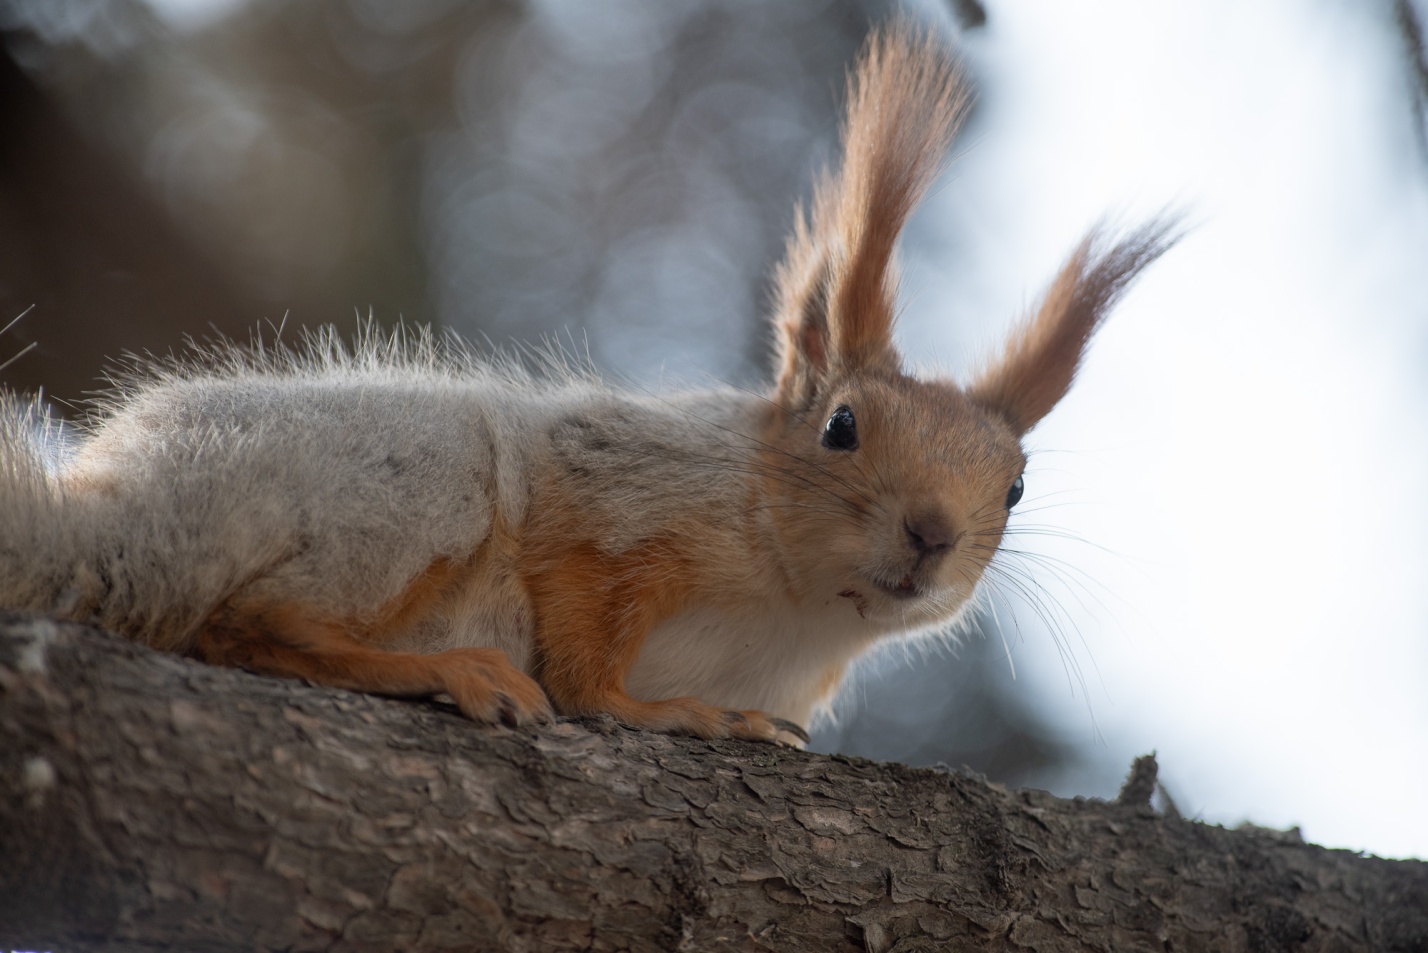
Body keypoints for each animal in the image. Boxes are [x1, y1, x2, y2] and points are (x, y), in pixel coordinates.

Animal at [2, 18, 1170, 742]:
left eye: (1015, 484)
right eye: (841, 426)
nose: (933, 531)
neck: (798, 605)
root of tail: (134, 513)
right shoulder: (614, 498)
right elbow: (583, 633)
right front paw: (653, 709)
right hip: (420, 477)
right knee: (249, 620)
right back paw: (446, 668)